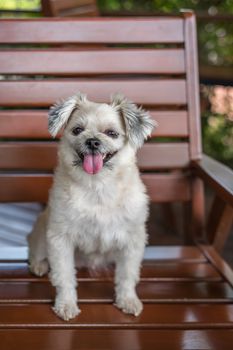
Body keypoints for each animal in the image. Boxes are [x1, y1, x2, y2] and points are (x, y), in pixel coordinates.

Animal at [27, 92, 155, 320]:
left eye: (112, 133)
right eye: (77, 130)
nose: (93, 141)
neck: (97, 186)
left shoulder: (132, 240)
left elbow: (127, 275)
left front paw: (127, 300)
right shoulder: (60, 238)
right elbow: (64, 276)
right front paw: (66, 304)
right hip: (42, 233)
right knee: (37, 251)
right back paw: (39, 265)